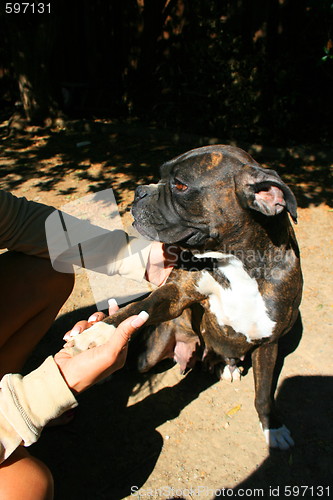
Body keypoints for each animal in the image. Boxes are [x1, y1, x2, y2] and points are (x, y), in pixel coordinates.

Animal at [65, 146, 300, 452]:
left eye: (180, 185)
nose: (140, 191)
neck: (236, 262)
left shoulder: (268, 342)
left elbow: (264, 393)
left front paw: (274, 427)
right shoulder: (174, 295)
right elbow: (135, 310)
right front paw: (95, 334)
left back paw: (225, 366)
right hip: (151, 353)